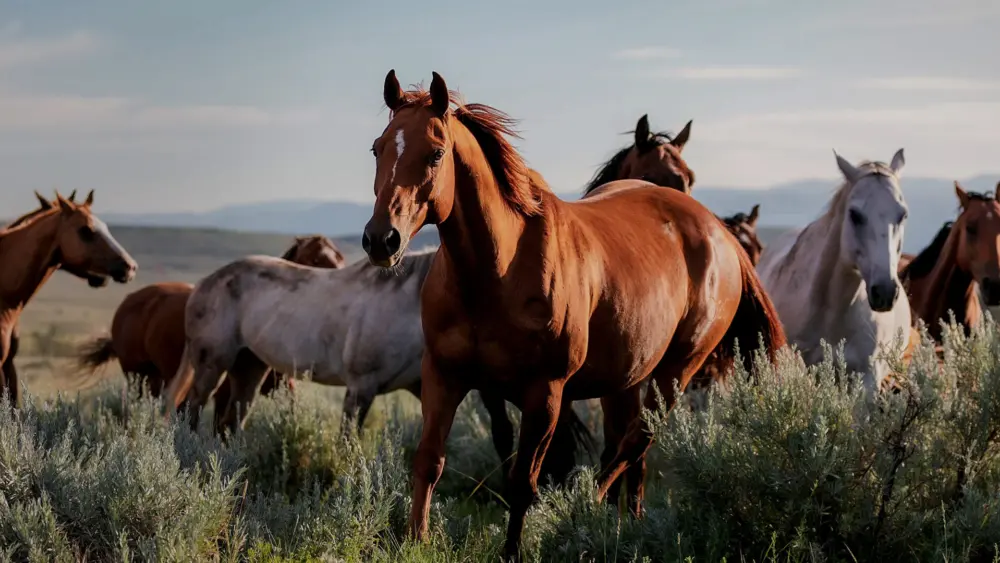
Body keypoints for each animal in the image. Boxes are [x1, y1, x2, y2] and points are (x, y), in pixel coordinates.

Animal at [74, 235, 346, 416]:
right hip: (138, 377)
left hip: (155, 378)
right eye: (315, 258)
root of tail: (129, 302)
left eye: (340, 259)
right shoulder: (224, 395)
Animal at [161, 246, 598, 489]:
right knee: (191, 409)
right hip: (211, 362)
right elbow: (347, 442)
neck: (410, 307)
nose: (555, 488)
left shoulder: (420, 388)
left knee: (231, 419)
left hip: (249, 368)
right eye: (559, 443)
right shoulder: (361, 387)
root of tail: (203, 284)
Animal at [362, 70, 784, 560]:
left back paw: (584, 510)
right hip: (628, 378)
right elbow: (430, 460)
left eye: (436, 153)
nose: (381, 240)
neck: (497, 270)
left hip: (676, 371)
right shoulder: (445, 375)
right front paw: (415, 539)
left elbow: (524, 481)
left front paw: (514, 549)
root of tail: (718, 232)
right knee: (630, 450)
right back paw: (623, 523)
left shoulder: (546, 393)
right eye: (378, 147)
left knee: (635, 442)